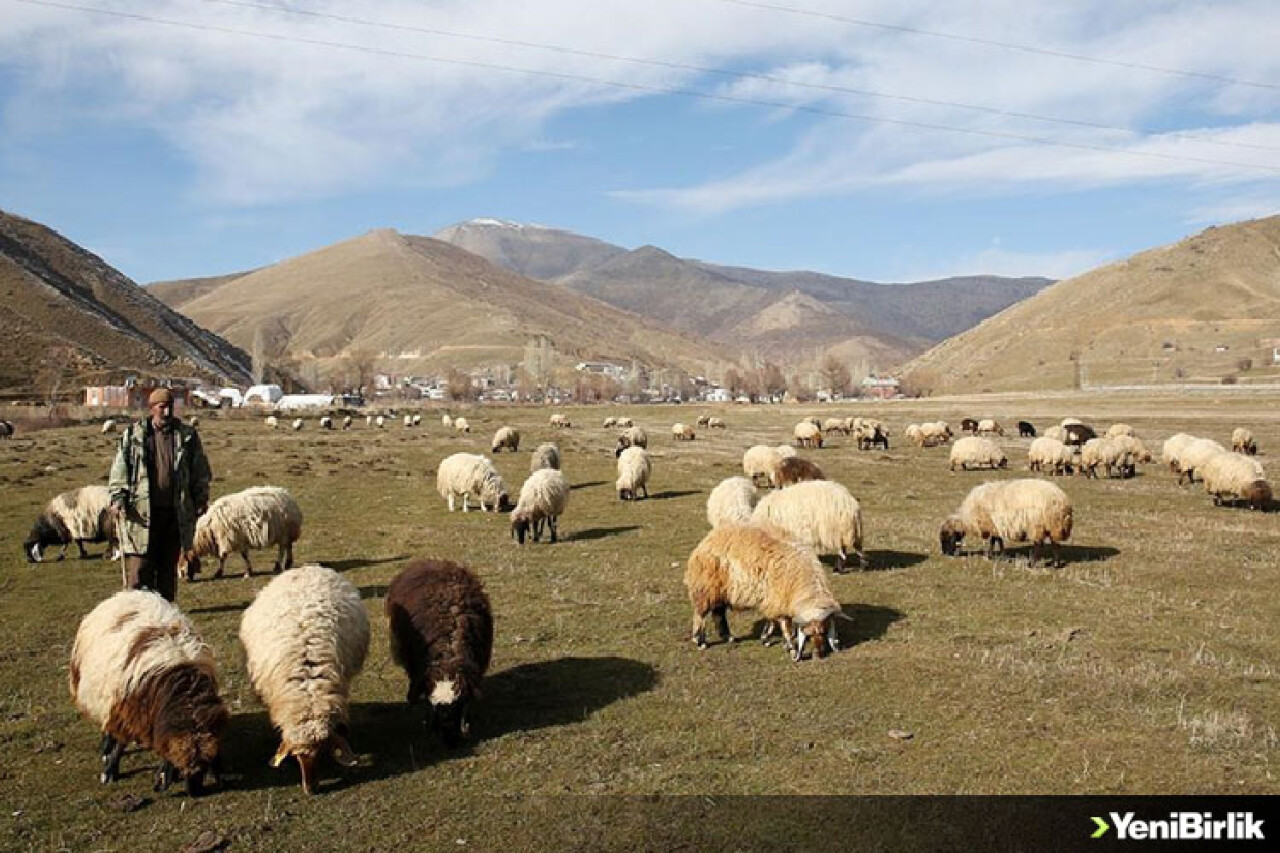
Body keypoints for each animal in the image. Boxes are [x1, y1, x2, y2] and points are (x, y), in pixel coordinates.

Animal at [686, 522, 844, 660]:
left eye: (824, 632)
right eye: (809, 635)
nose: (819, 655)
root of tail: (709, 538)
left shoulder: (773, 600)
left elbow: (771, 620)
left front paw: (766, 638)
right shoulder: (778, 599)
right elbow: (785, 626)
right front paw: (791, 649)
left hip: (721, 591)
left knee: (718, 613)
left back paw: (728, 636)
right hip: (706, 588)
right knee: (700, 614)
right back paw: (699, 641)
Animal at [936, 479, 1075, 563]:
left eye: (946, 538)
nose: (945, 553)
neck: (969, 517)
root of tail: (1063, 501)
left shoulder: (992, 524)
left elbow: (994, 540)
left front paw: (994, 555)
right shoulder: (996, 526)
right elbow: (997, 540)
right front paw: (998, 554)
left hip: (1037, 525)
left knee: (1038, 544)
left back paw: (1032, 563)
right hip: (1053, 526)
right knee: (1055, 544)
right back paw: (1055, 564)